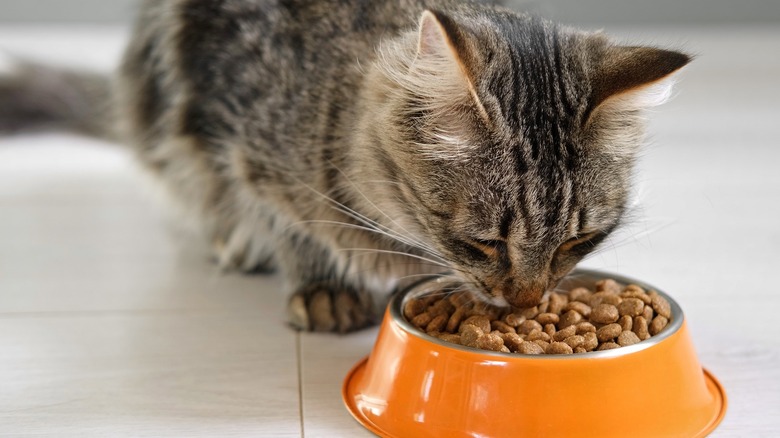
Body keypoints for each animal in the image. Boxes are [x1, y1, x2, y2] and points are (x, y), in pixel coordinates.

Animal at [0, 0, 688, 332]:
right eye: (484, 243)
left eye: (577, 241)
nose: (526, 303)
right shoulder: (232, 132)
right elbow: (285, 219)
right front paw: (321, 284)